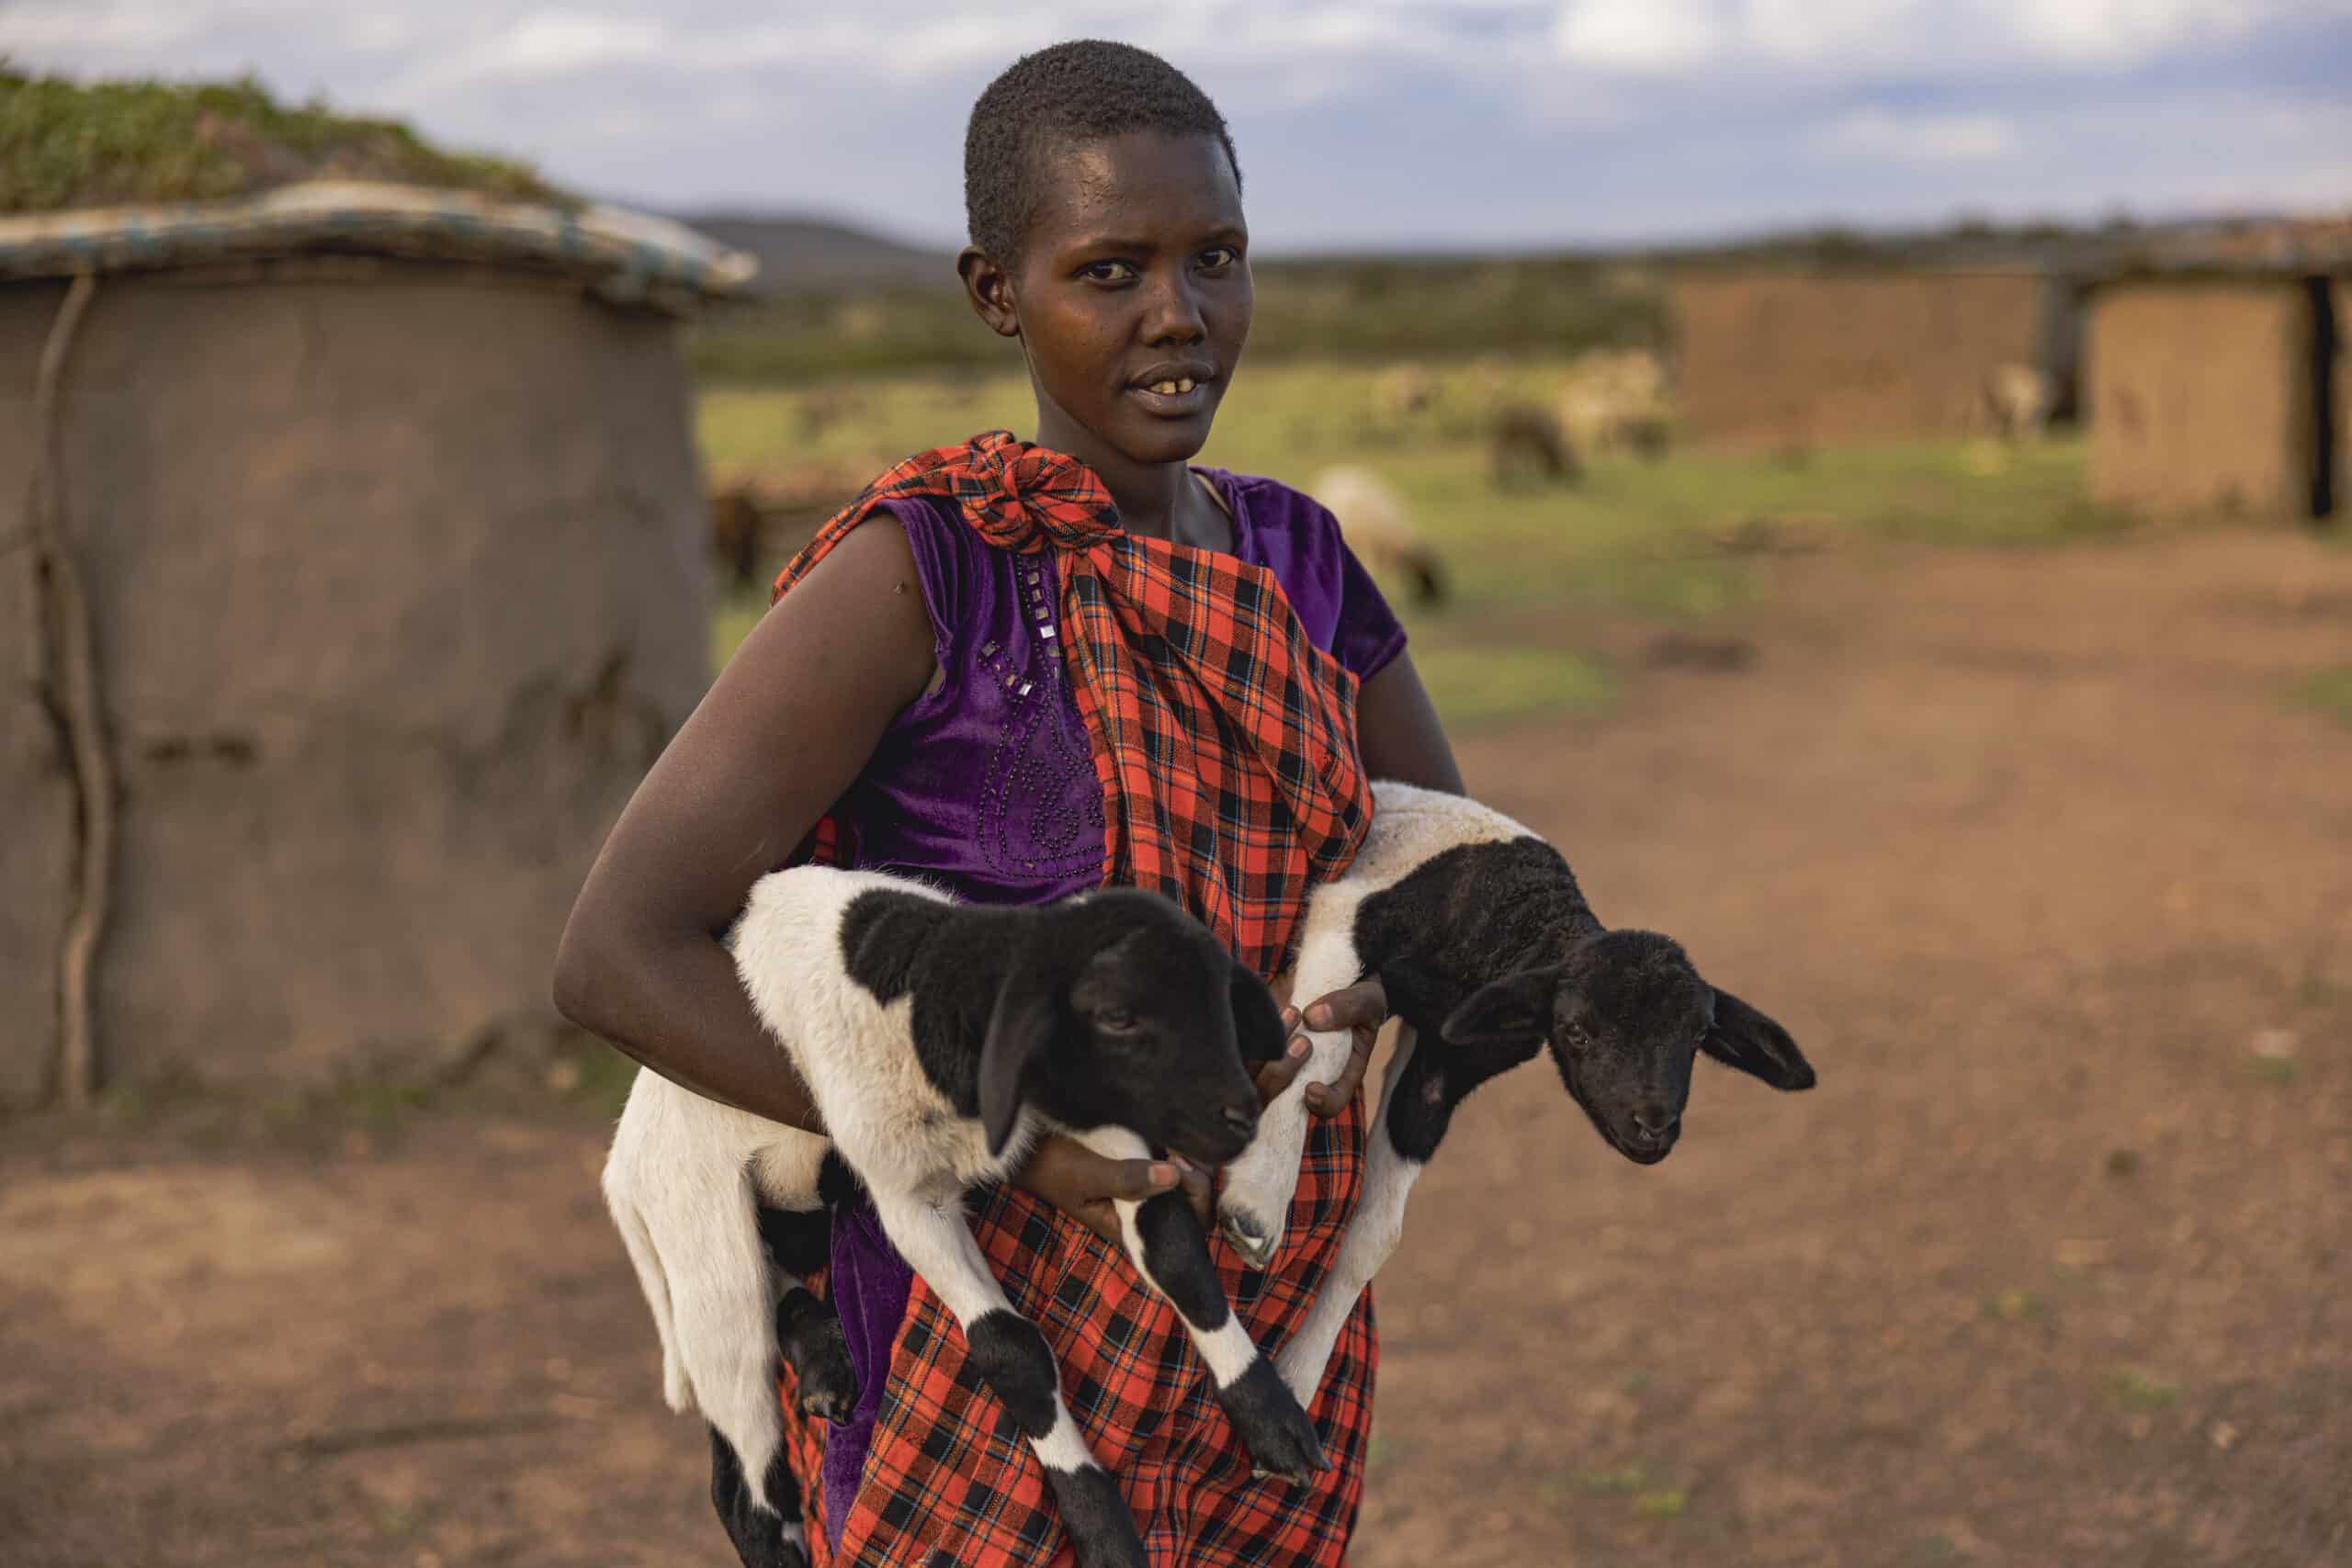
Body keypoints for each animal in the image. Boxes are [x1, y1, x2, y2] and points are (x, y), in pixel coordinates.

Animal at [602, 869, 1345, 1568]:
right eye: (1117, 1017)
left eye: (1220, 999)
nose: (1240, 1117)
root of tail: (618, 1172)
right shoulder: (908, 1197)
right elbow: (1005, 1346)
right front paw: (1100, 1526)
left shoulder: (1097, 1123)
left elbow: (1175, 1252)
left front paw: (1273, 1419)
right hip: (706, 1248)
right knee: (738, 1465)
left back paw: (826, 1367)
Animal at [1213, 780, 1815, 1401]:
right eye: (1576, 1031)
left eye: (1698, 1036)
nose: (1654, 1126)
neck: (1518, 921)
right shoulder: (1348, 916)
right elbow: (1318, 1041)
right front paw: (1256, 1208)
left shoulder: (1450, 1056)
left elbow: (1376, 1234)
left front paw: (1299, 1377)